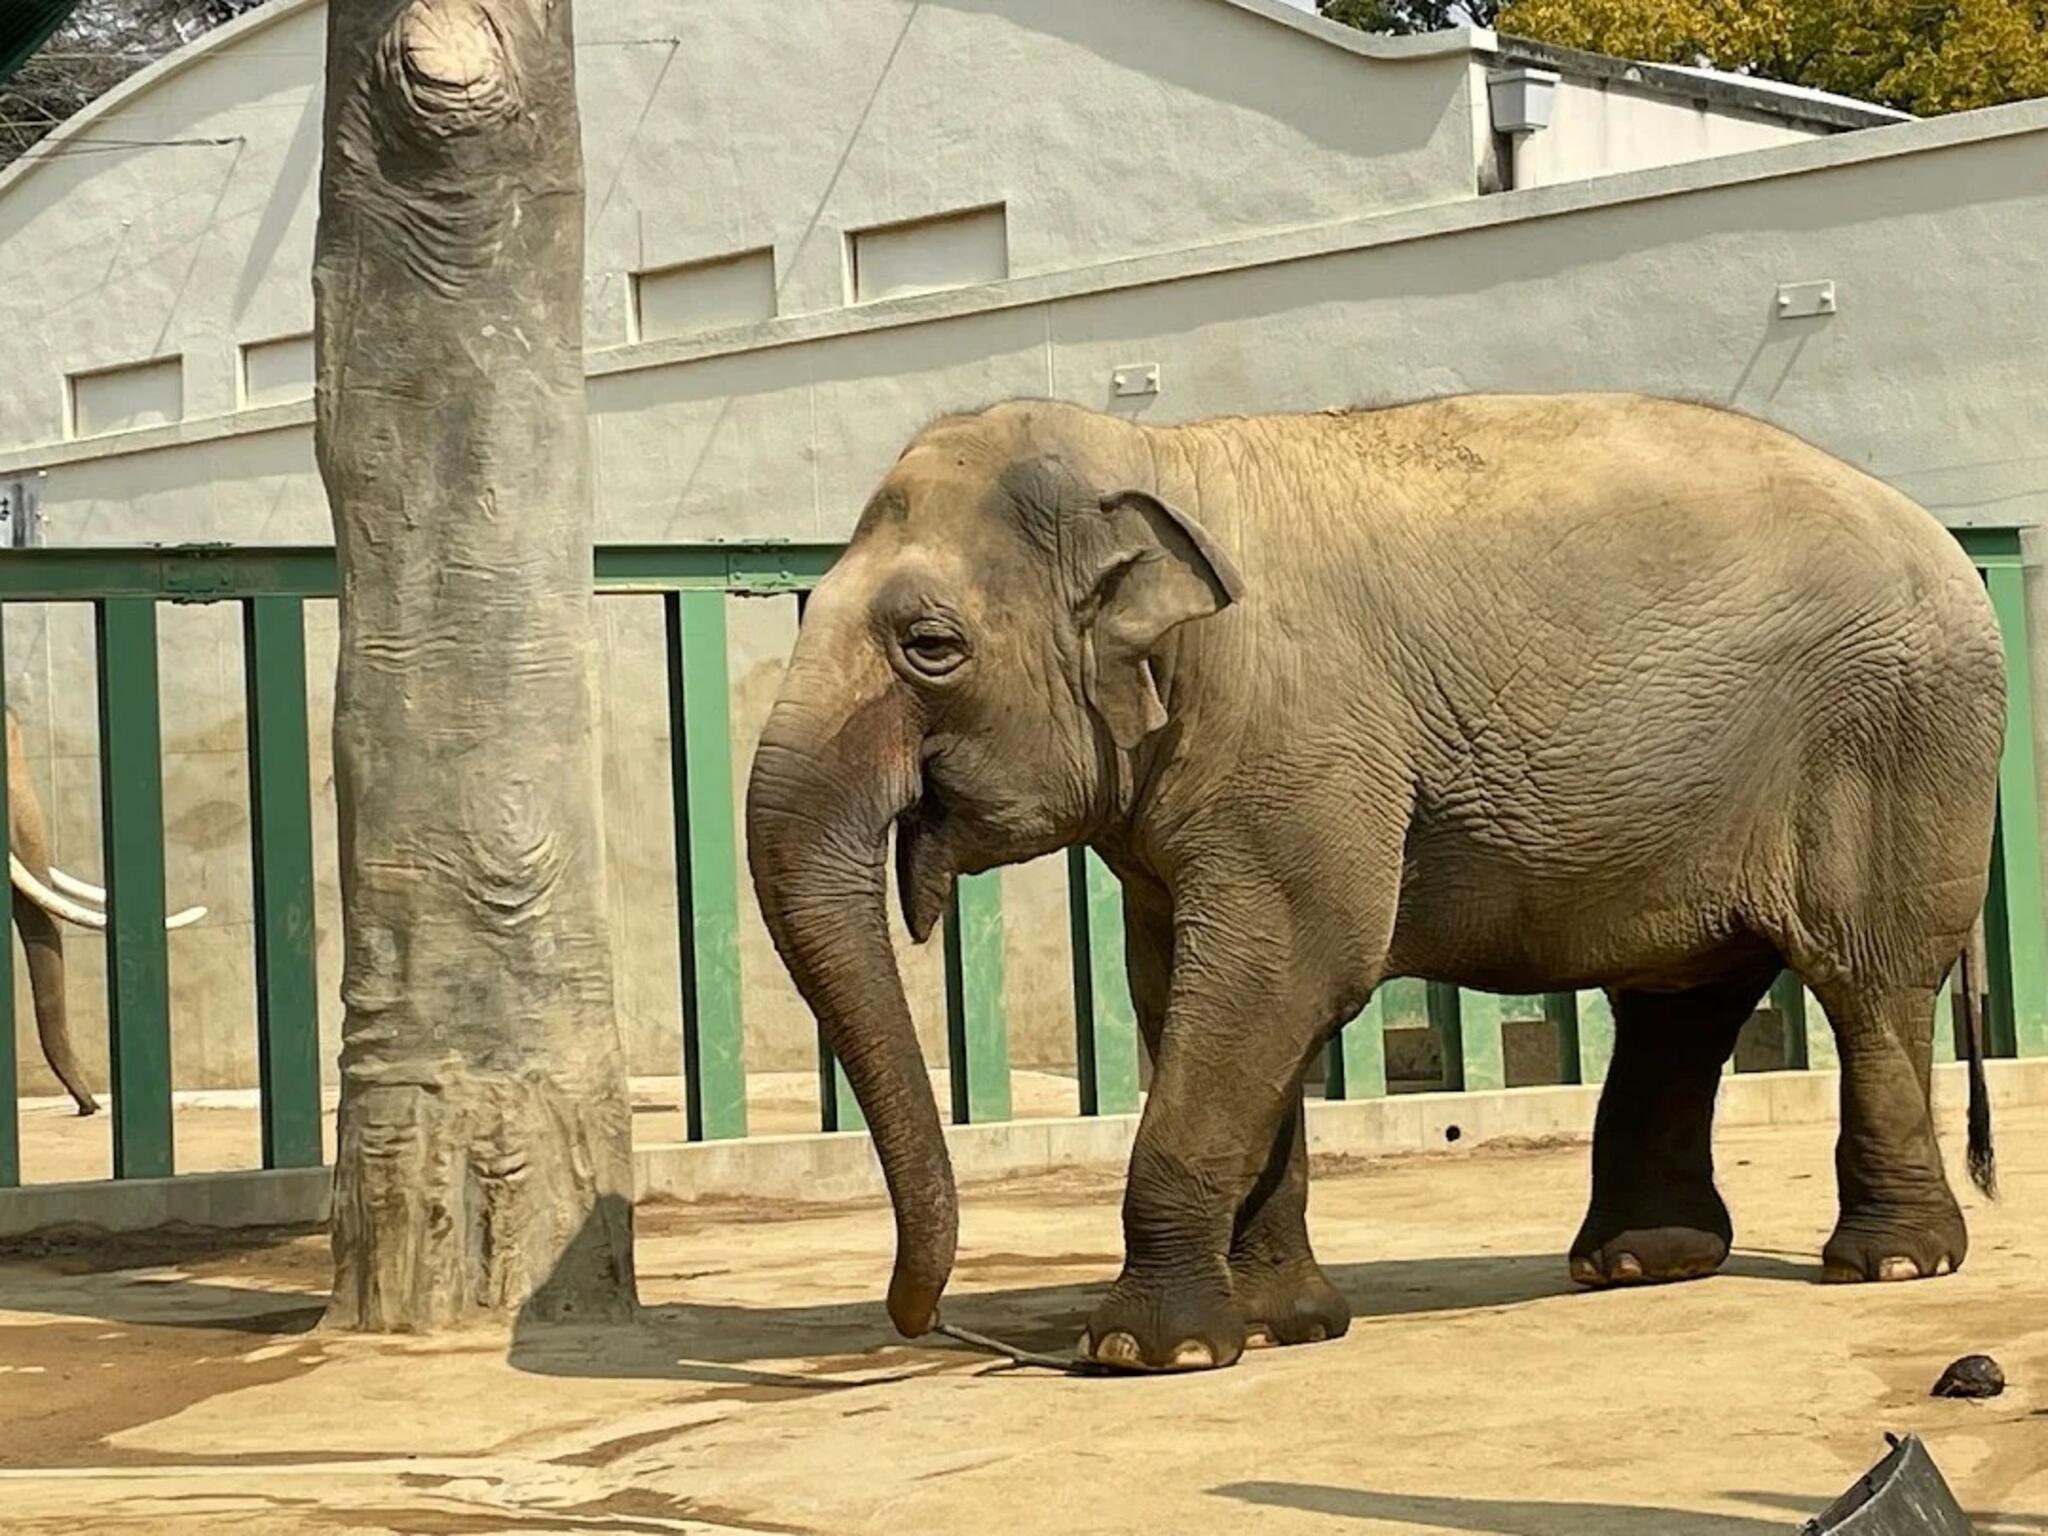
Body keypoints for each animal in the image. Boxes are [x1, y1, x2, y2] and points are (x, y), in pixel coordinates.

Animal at [745, 391, 2007, 1376]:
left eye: (930, 647)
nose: (923, 1323)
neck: (1152, 455)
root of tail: (1950, 545)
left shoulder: (1302, 751)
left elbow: (1286, 971)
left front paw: (1146, 1353)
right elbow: (1192, 988)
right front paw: (1278, 1326)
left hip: (1897, 745)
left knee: (1864, 982)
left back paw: (1887, 1264)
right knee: (1680, 1004)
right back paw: (1639, 1264)